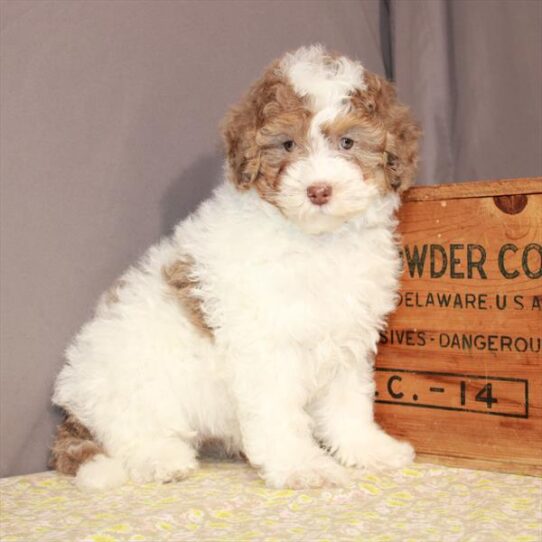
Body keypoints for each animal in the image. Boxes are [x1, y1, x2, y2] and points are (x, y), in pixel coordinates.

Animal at [51, 44, 422, 490]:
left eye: (347, 142)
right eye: (287, 144)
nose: (318, 190)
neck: (315, 242)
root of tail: (73, 405)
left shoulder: (346, 337)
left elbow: (349, 403)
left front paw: (368, 449)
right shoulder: (266, 346)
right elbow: (280, 413)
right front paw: (302, 465)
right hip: (130, 386)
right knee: (132, 433)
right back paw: (162, 458)